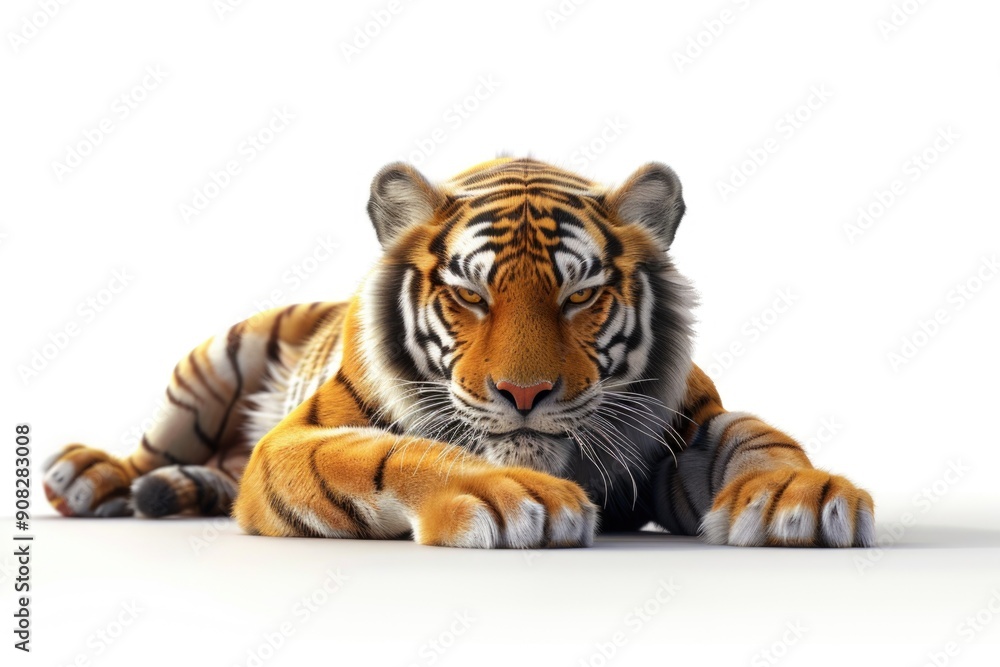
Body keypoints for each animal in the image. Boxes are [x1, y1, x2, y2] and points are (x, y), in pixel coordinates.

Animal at [43, 156, 875, 548]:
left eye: (579, 296)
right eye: (471, 295)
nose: (525, 394)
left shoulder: (685, 420)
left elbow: (756, 434)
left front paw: (801, 496)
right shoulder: (294, 440)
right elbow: (392, 454)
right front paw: (511, 495)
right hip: (214, 361)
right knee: (150, 450)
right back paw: (86, 476)